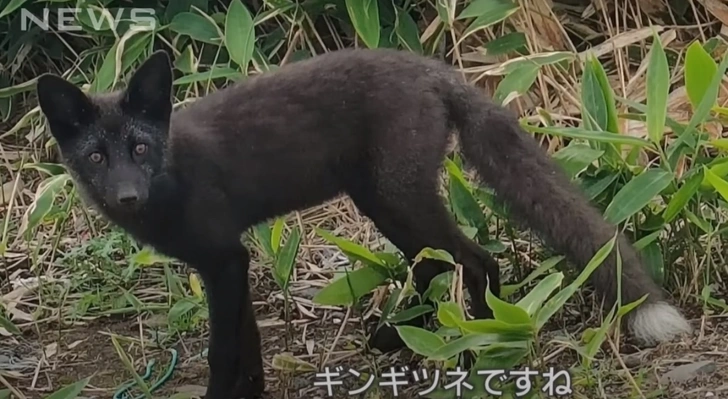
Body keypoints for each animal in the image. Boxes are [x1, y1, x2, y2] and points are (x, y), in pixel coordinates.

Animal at [38, 50, 688, 399]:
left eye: (140, 148)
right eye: (96, 157)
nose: (128, 196)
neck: (171, 177)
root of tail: (432, 69)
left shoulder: (223, 258)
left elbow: (224, 349)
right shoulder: (232, 261)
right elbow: (248, 343)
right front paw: (254, 390)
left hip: (397, 197)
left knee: (476, 258)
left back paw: (480, 346)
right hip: (381, 201)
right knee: (433, 266)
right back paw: (409, 339)